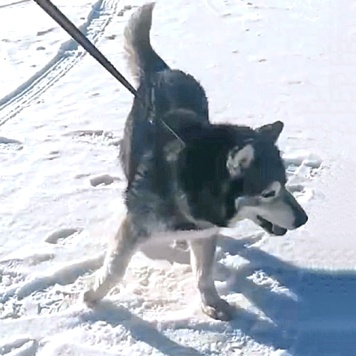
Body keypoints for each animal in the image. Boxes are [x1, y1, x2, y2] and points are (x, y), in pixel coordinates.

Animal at [82, 2, 308, 320]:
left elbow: (203, 273)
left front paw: (211, 301)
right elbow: (115, 267)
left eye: (286, 184)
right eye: (268, 193)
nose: (303, 219)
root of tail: (164, 71)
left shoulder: (205, 231)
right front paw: (93, 296)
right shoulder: (136, 223)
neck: (196, 186)